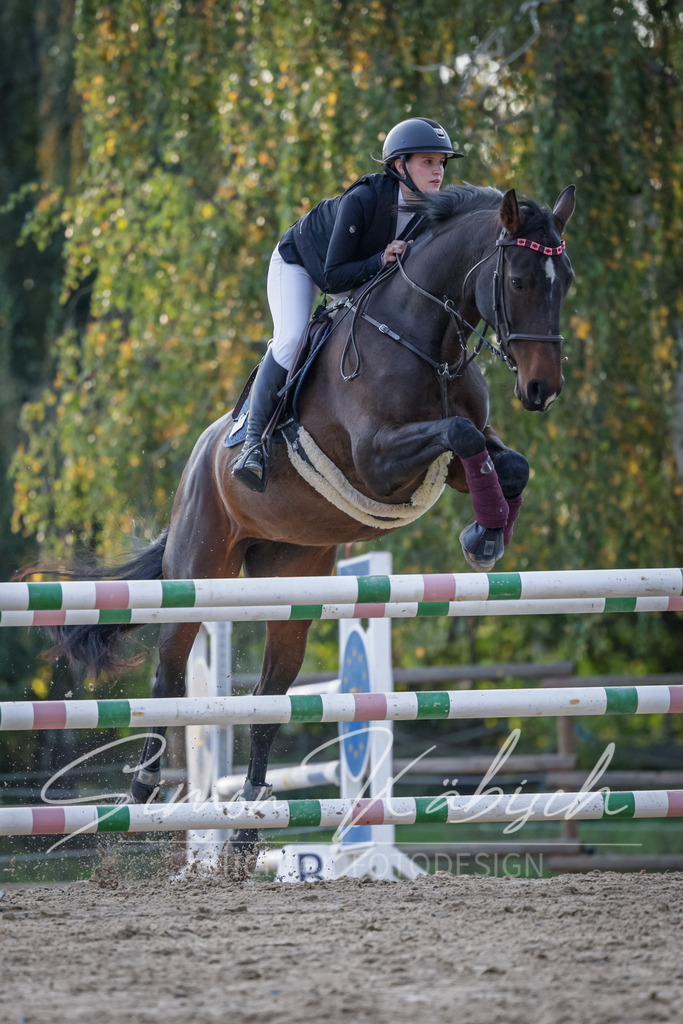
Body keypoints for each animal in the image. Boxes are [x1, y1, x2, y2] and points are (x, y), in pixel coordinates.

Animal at [46, 182, 575, 871]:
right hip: (198, 567)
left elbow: (507, 462)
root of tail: (199, 456)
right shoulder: (380, 462)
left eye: (565, 280)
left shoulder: (453, 461)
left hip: (291, 583)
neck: (426, 342)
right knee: (168, 672)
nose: (543, 390)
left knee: (271, 699)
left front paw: (486, 536)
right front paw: (484, 537)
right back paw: (143, 790)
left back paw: (247, 830)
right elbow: (461, 435)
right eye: (516, 280)